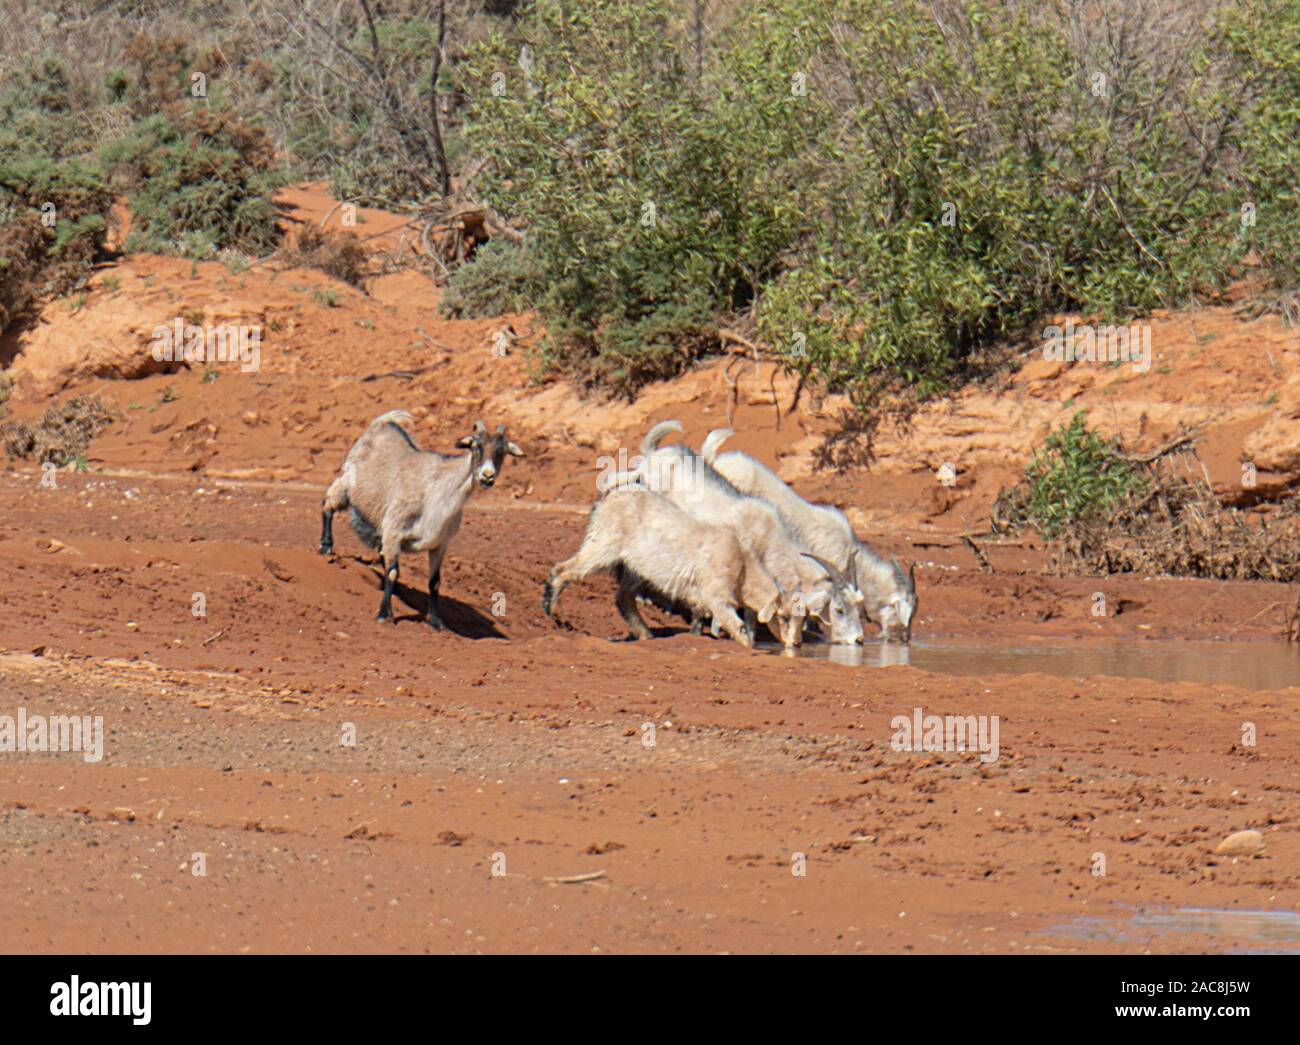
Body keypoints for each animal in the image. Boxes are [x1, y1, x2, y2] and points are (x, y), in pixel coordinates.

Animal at [319, 412, 523, 627]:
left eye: (502, 452)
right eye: (476, 446)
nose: (487, 476)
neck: (438, 492)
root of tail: (386, 422)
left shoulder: (440, 544)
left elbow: (434, 582)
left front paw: (434, 620)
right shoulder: (394, 531)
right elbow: (393, 572)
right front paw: (384, 614)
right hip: (347, 483)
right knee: (328, 505)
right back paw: (326, 546)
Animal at [542, 487, 782, 648]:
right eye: (784, 616)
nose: (790, 645)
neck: (743, 564)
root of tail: (606, 499)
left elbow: (701, 611)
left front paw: (695, 634)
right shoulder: (715, 590)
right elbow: (731, 620)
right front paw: (746, 645)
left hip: (634, 565)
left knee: (623, 598)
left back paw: (645, 633)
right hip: (603, 544)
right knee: (563, 570)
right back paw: (548, 607)